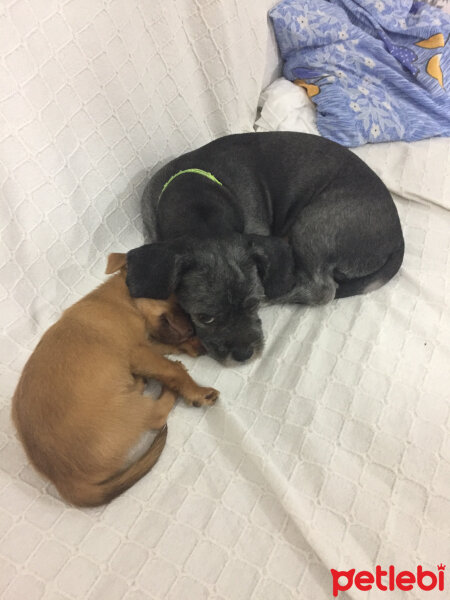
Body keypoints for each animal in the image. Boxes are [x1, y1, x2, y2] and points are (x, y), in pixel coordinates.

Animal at [11, 252, 219, 506]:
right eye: (173, 296)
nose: (194, 331)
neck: (123, 300)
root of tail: (65, 483)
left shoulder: (147, 342)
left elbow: (168, 345)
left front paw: (194, 346)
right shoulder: (138, 352)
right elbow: (172, 368)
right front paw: (197, 390)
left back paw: (140, 381)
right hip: (130, 410)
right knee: (157, 416)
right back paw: (168, 390)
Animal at [126, 132, 404, 360]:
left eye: (253, 304)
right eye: (204, 317)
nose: (244, 355)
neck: (197, 199)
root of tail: (398, 240)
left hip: (313, 224)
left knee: (321, 289)